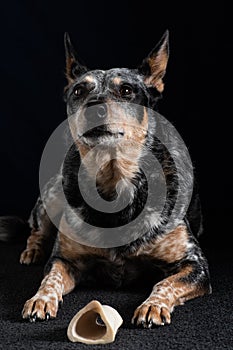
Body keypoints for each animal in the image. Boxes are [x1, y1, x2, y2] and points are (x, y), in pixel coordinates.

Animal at [0, 30, 211, 328]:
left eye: (126, 90)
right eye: (79, 91)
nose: (94, 109)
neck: (114, 184)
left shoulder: (195, 263)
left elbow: (164, 283)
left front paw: (153, 305)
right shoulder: (64, 260)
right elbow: (50, 279)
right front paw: (40, 299)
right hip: (52, 193)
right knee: (37, 229)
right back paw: (32, 250)